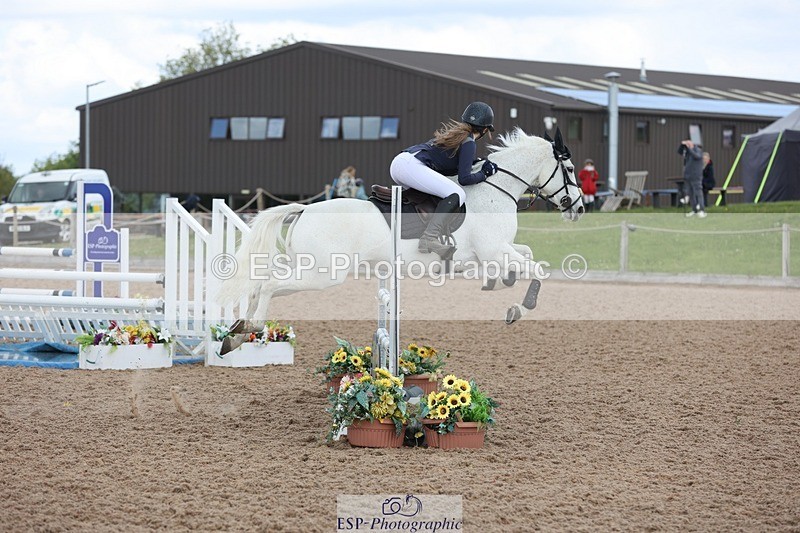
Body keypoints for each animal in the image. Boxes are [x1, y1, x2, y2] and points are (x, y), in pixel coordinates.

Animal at [217, 127, 583, 334]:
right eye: (569, 168)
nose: (578, 208)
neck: (496, 189)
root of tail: (305, 209)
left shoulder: (494, 252)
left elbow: (529, 255)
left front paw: (506, 282)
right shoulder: (493, 250)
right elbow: (538, 270)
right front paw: (518, 309)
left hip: (307, 268)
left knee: (260, 286)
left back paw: (238, 331)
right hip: (323, 274)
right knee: (267, 286)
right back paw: (254, 325)